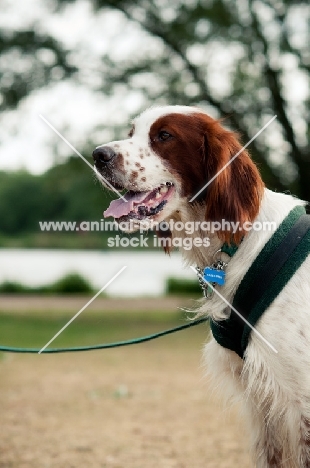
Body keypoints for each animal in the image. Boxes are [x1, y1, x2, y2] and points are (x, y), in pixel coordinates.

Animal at [92, 106, 310, 468]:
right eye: (131, 132)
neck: (238, 241)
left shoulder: (299, 399)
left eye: (164, 135)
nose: (98, 155)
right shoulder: (264, 404)